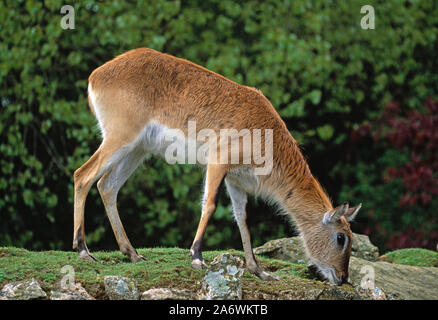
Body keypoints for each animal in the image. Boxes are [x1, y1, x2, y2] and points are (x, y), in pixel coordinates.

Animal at [73, 48, 362, 284]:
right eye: (341, 237)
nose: (343, 278)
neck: (266, 135)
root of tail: (96, 75)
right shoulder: (217, 163)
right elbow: (209, 205)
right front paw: (196, 256)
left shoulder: (236, 181)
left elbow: (242, 218)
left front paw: (258, 270)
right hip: (120, 138)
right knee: (82, 175)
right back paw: (84, 251)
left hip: (137, 150)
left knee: (107, 185)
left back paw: (132, 254)